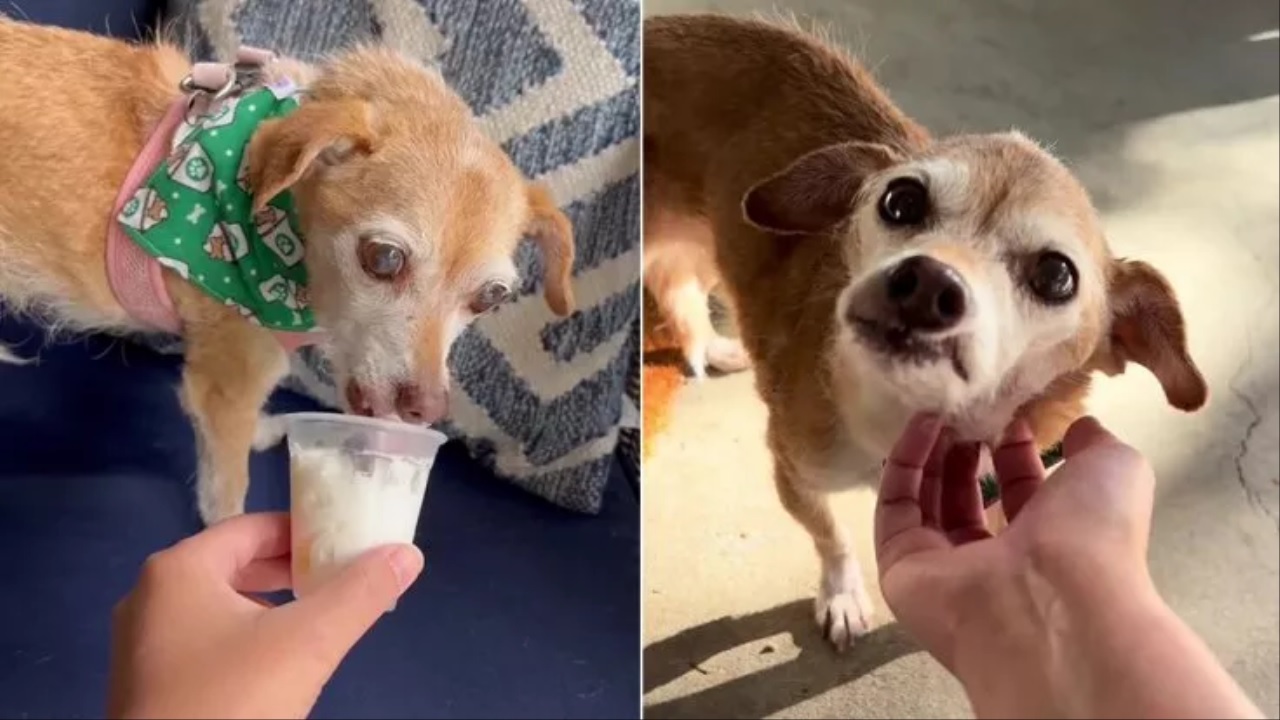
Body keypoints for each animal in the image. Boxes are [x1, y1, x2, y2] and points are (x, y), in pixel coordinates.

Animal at [0, 18, 576, 520]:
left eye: (491, 297)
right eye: (384, 258)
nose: (427, 409)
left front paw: (264, 429)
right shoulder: (223, 390)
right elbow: (227, 501)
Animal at [645, 14, 1203, 648]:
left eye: (1056, 275)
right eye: (901, 199)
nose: (927, 282)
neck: (896, 420)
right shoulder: (794, 472)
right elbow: (830, 535)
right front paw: (841, 596)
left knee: (676, 283)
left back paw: (710, 348)